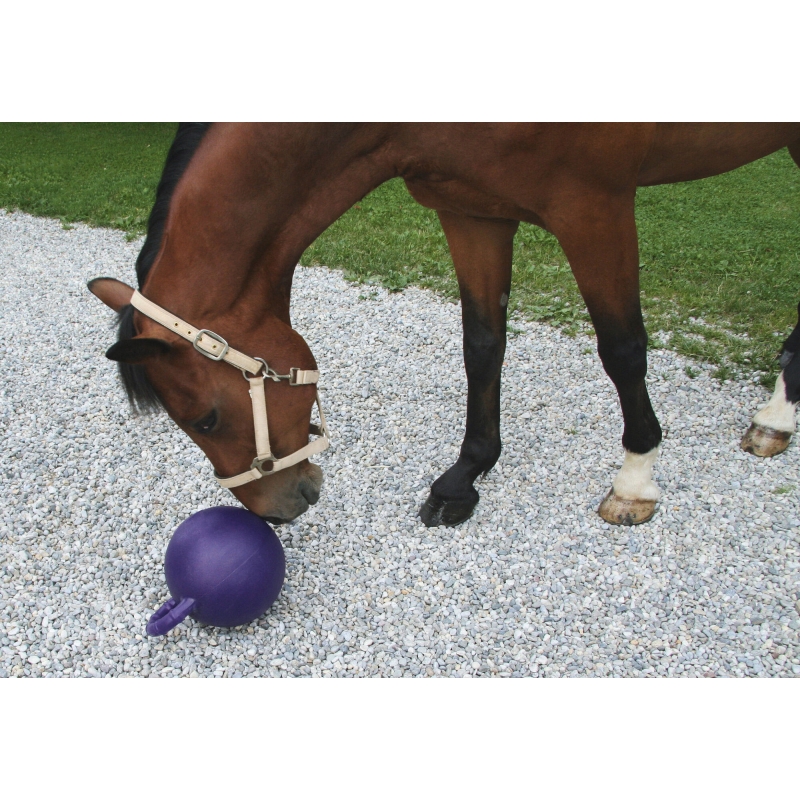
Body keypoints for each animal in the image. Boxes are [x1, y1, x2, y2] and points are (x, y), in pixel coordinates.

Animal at [88, 122, 800, 527]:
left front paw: (635, 480)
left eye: (206, 419)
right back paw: (777, 415)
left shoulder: (594, 205)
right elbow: (482, 343)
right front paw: (466, 476)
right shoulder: (472, 210)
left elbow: (622, 348)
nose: (276, 512)